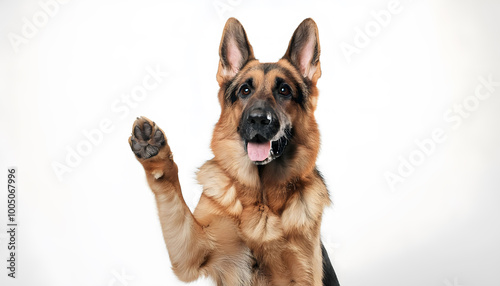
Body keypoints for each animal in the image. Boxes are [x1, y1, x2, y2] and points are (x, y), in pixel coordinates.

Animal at [128, 18, 340, 286]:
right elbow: (173, 198)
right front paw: (155, 153)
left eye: (284, 91)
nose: (258, 119)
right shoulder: (192, 252)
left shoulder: (302, 274)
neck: (261, 199)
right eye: (245, 91)